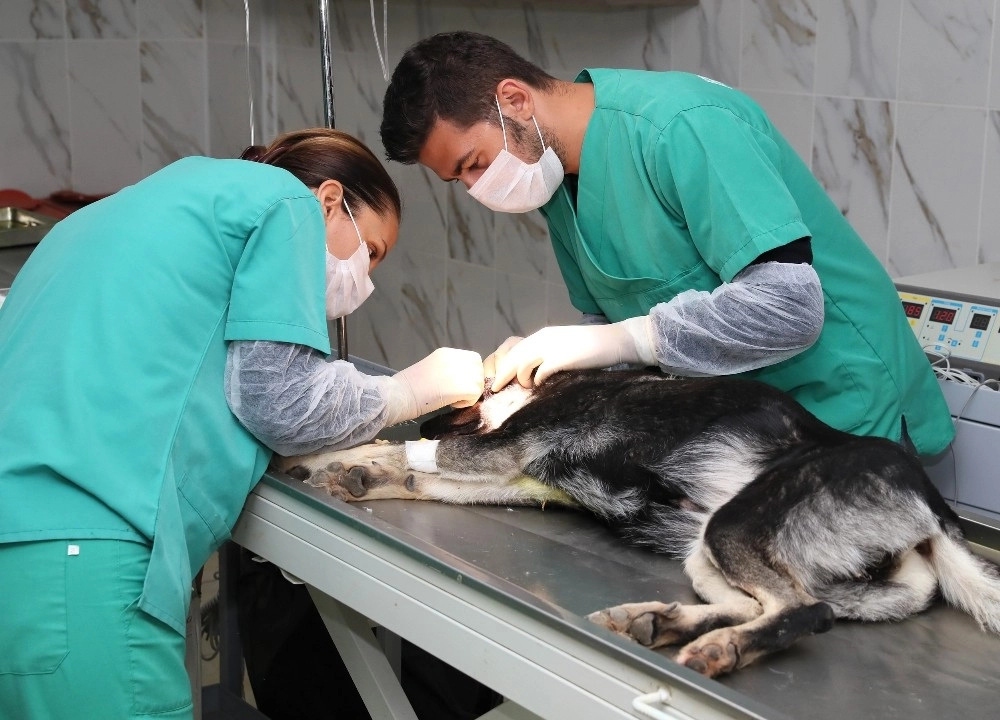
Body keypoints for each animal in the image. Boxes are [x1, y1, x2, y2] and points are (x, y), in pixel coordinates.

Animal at [270, 368, 1000, 676]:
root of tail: (934, 510)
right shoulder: (515, 477)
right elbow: (406, 467)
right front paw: (342, 468)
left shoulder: (506, 449)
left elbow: (413, 452)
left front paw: (332, 457)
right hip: (709, 549)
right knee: (764, 603)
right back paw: (660, 622)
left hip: (735, 524)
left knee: (804, 611)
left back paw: (717, 649)